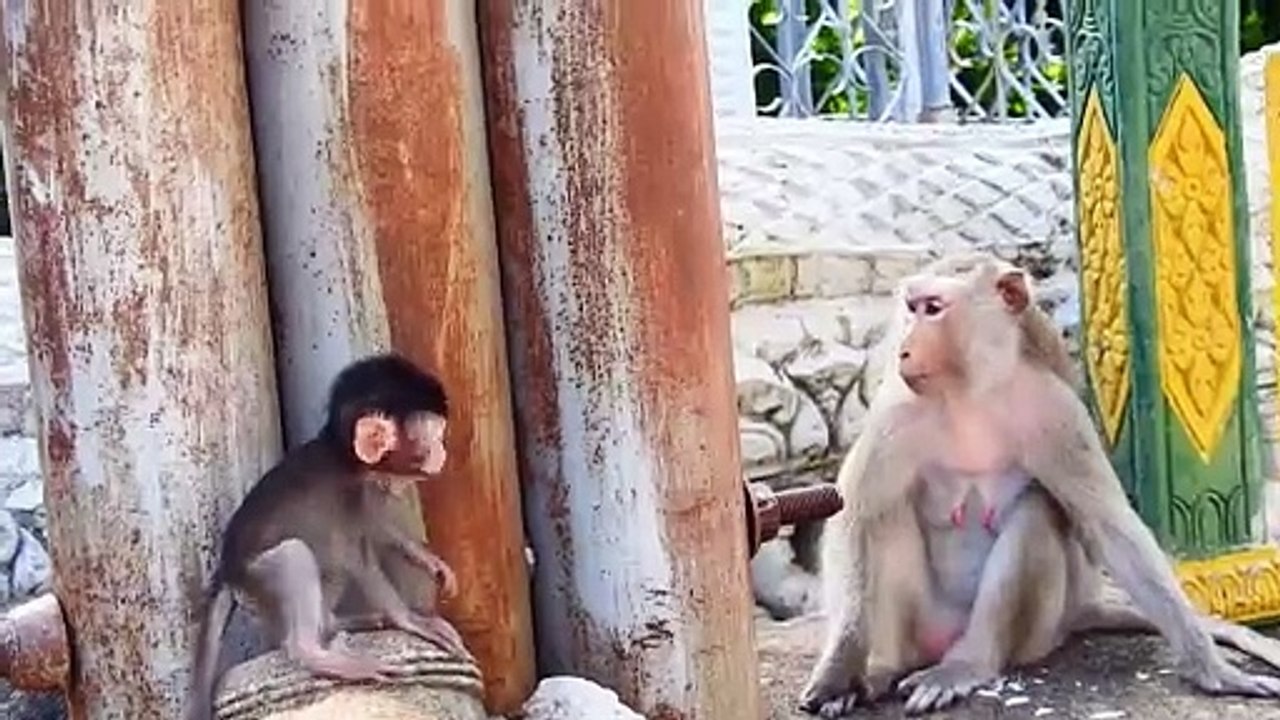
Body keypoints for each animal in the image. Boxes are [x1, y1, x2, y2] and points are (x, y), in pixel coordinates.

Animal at [186, 353, 471, 720]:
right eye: (434, 436)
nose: (442, 452)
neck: (344, 456)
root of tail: (227, 572)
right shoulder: (349, 492)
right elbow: (358, 555)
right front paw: (409, 619)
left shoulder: (367, 487)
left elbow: (376, 526)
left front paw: (428, 560)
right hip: (257, 579)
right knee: (295, 554)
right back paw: (316, 653)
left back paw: (345, 623)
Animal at [798, 252, 1280, 717]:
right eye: (912, 308)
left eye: (933, 309)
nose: (902, 350)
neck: (972, 392)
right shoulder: (896, 416)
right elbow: (855, 515)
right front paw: (838, 670)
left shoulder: (1058, 414)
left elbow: (1112, 530)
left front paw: (1212, 668)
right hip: (921, 623)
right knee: (887, 516)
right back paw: (882, 668)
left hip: (1040, 630)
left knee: (1038, 512)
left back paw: (966, 664)